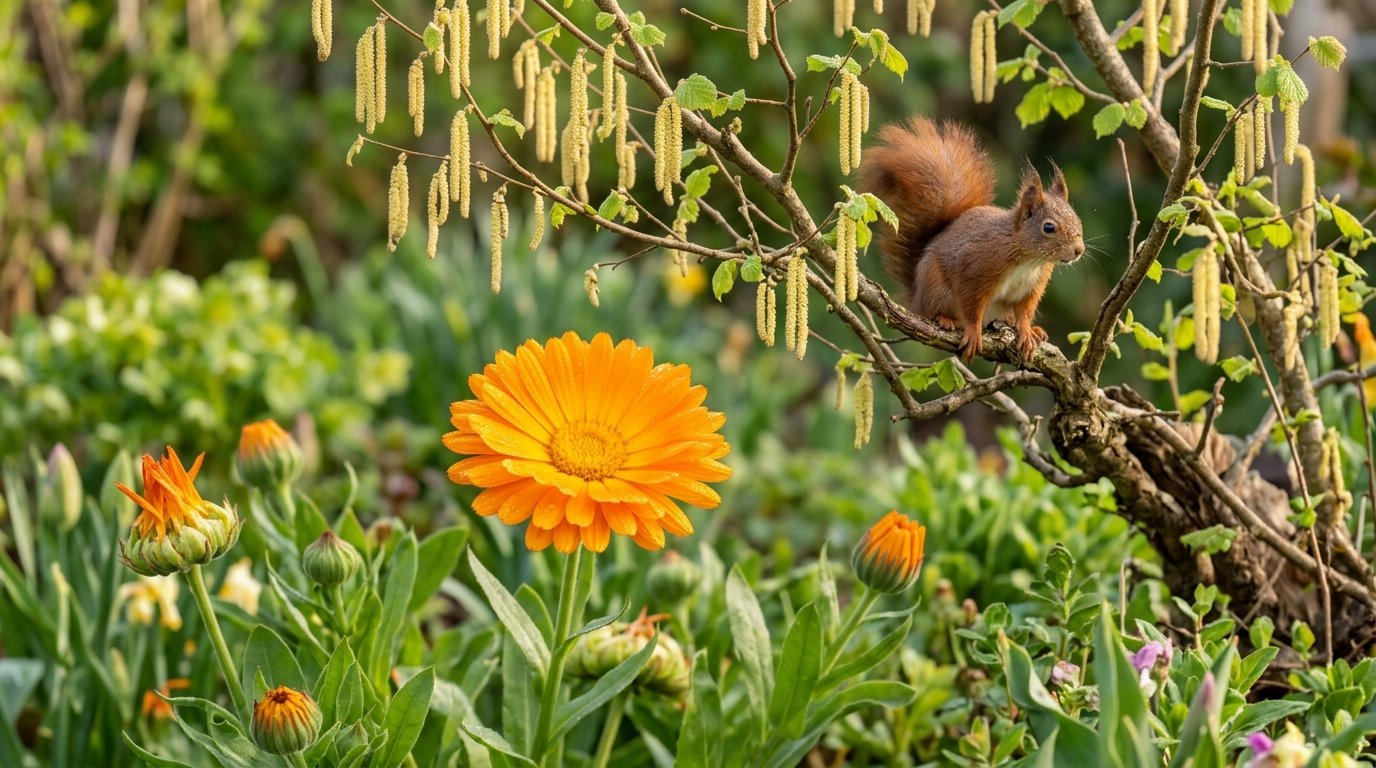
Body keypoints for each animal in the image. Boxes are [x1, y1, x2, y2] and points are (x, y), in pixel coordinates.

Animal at [859, 117, 1085, 361]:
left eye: (1077, 219)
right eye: (1049, 227)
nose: (1078, 250)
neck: (1027, 259)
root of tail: (917, 297)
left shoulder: (1032, 287)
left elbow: (1024, 312)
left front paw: (1026, 331)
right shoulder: (976, 270)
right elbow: (971, 307)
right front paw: (974, 332)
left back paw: (1030, 329)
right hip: (936, 288)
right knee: (933, 311)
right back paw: (945, 319)